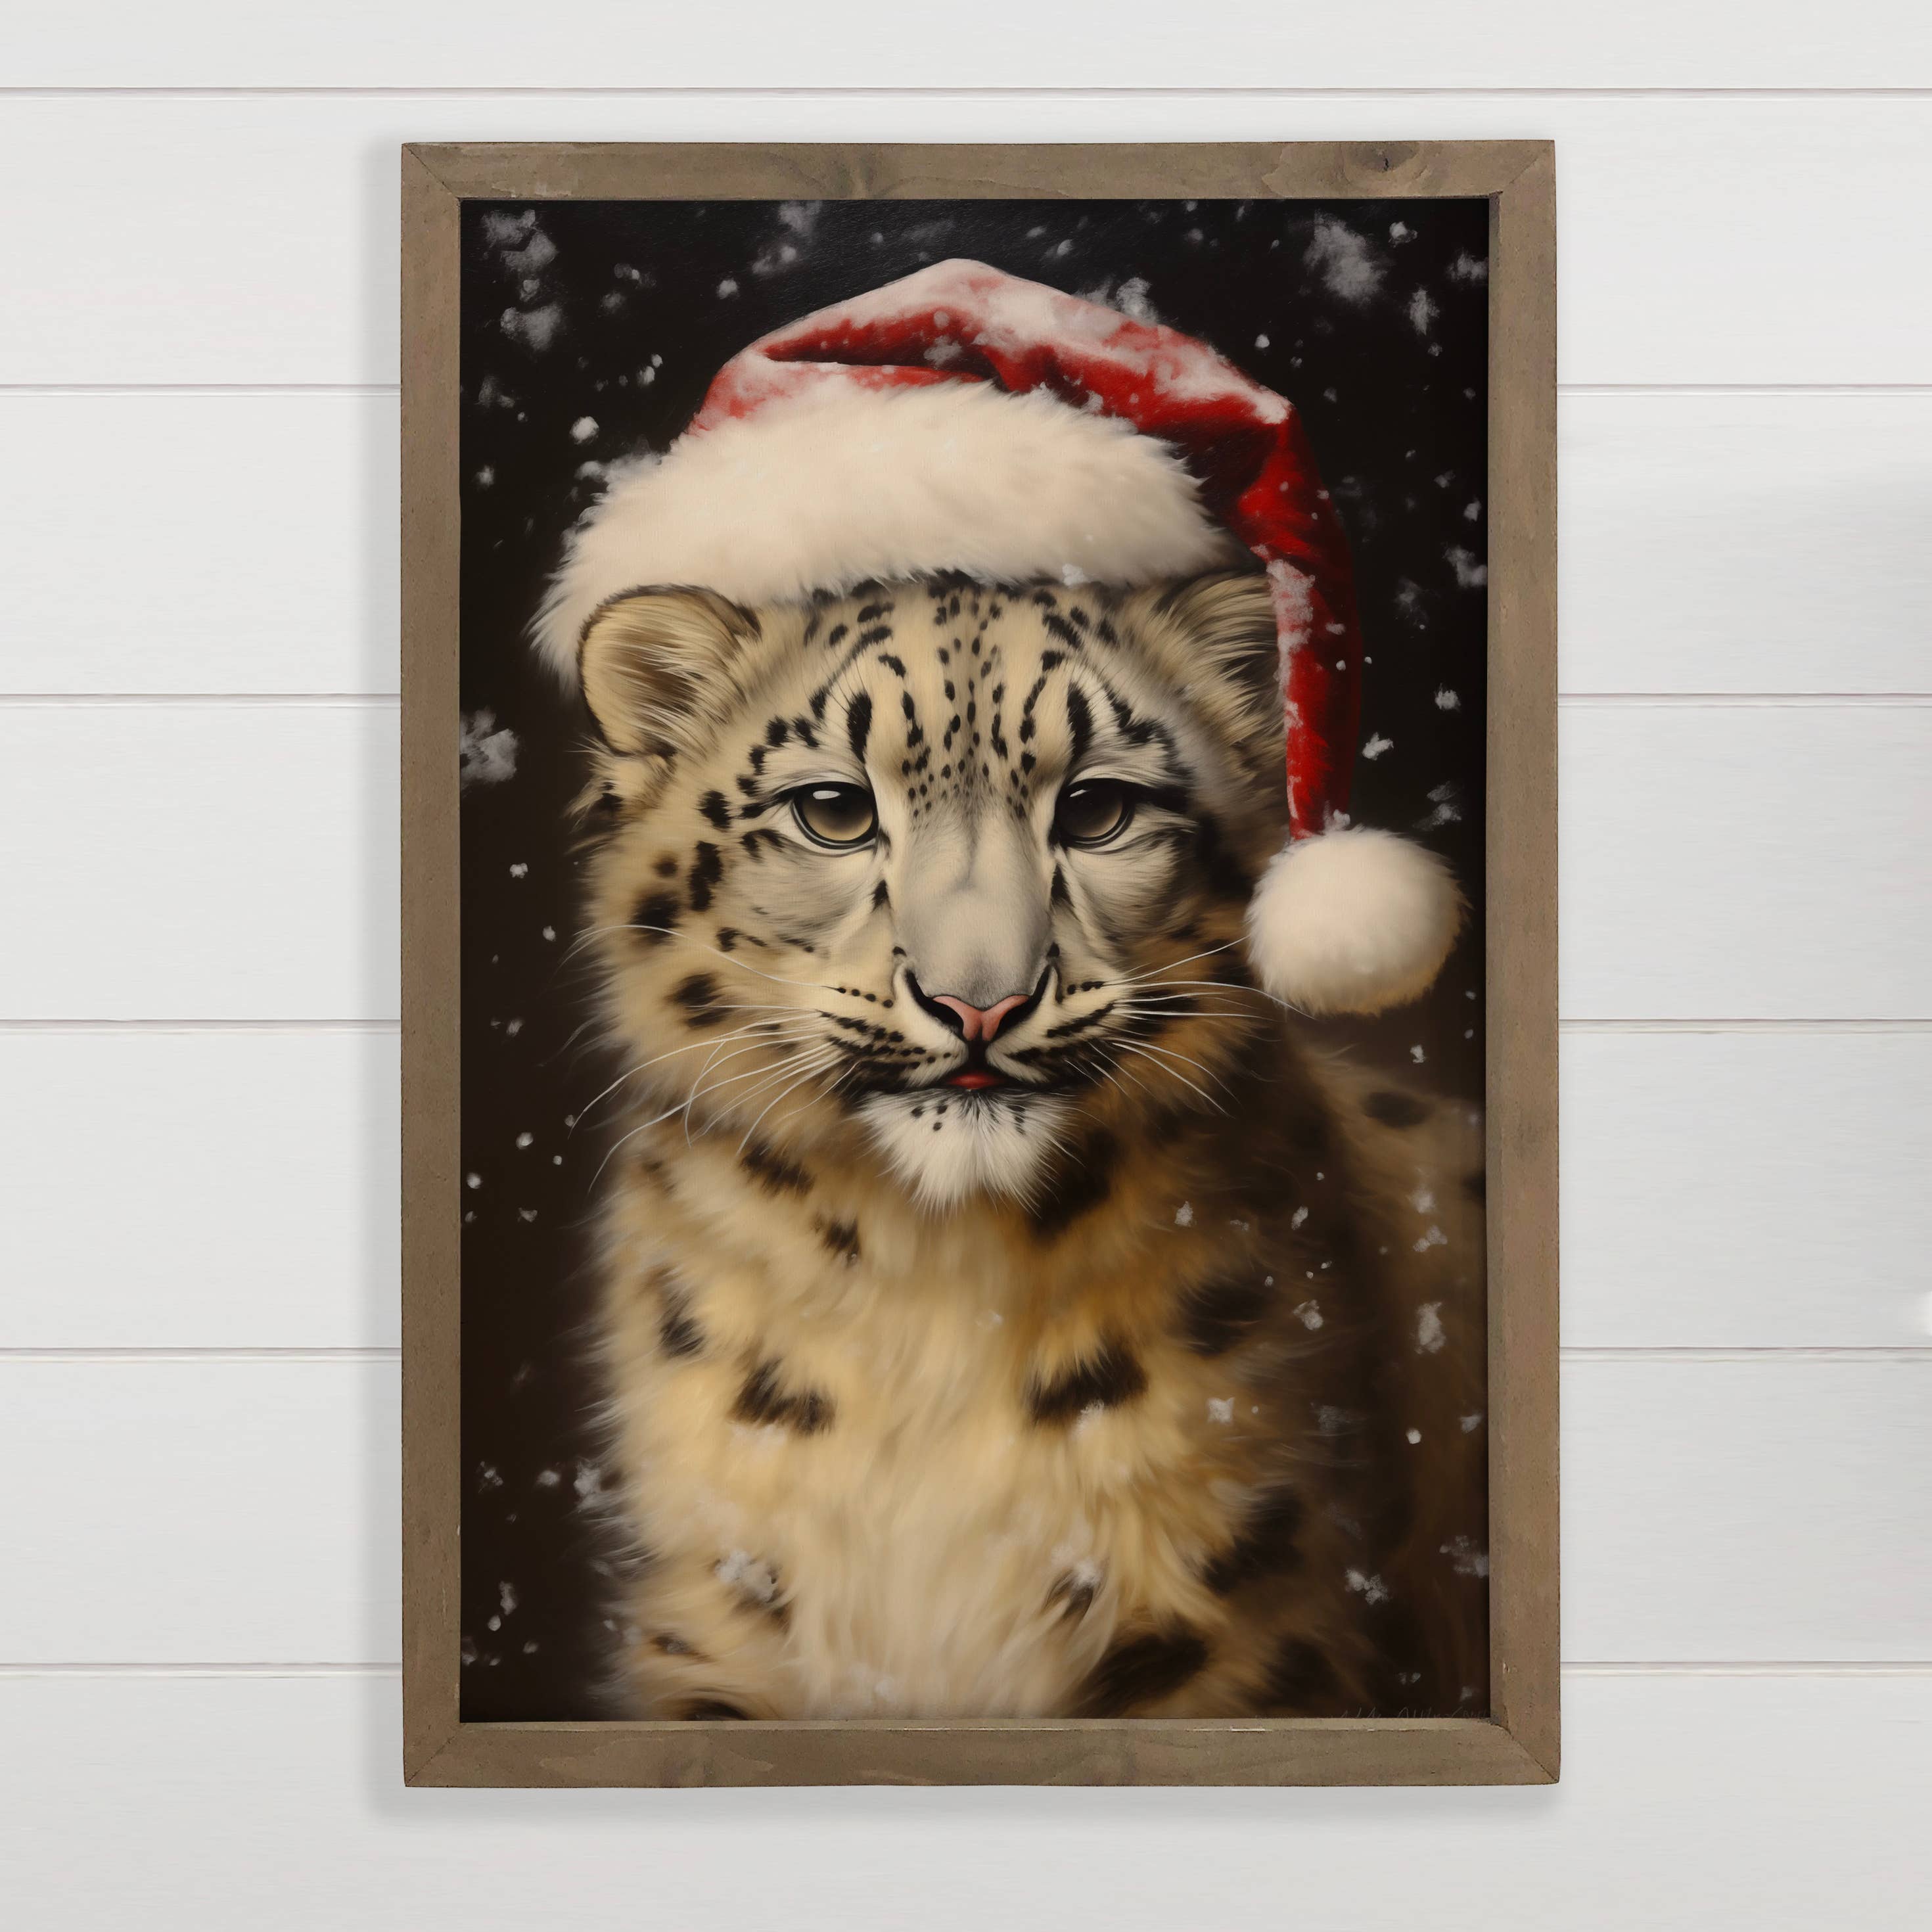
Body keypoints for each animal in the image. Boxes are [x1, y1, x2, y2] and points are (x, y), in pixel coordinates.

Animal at [563, 566, 1488, 1721]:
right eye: (835, 810)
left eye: (1096, 808)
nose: (979, 1003)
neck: (931, 1288)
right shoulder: (720, 1611)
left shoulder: (1232, 1620)